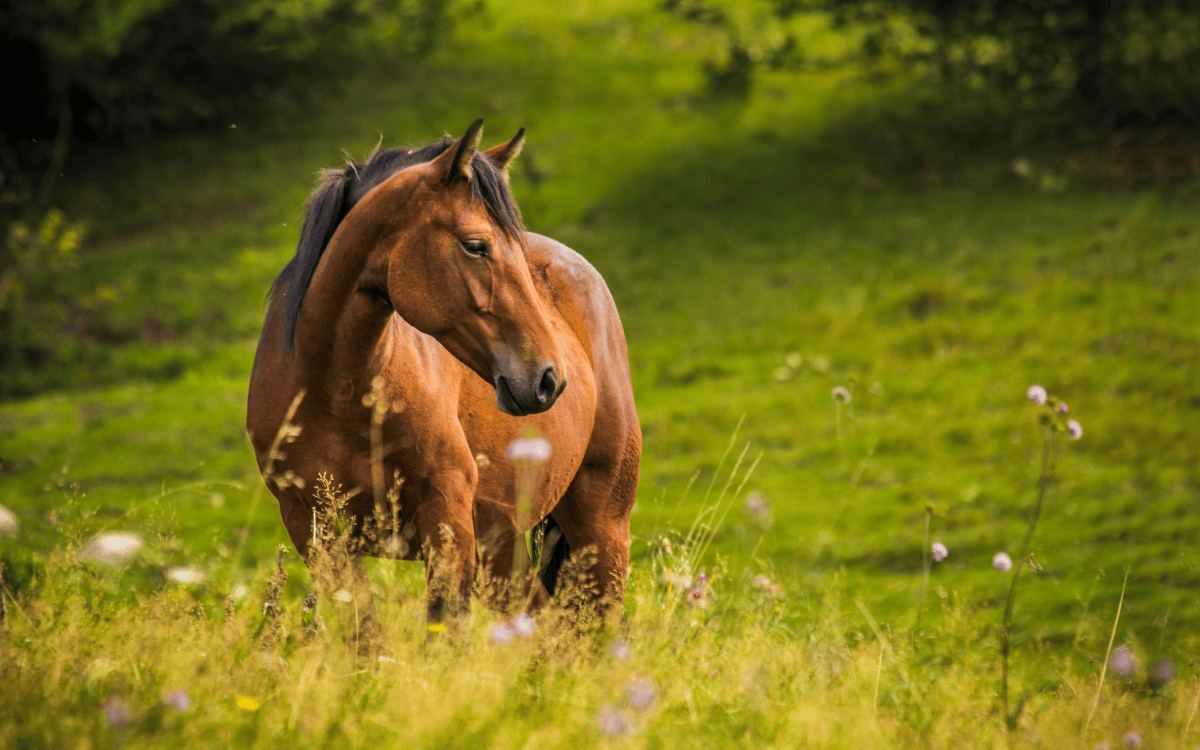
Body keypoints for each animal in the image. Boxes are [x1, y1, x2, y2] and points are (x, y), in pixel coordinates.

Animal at [246, 119, 640, 630]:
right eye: (475, 246)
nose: (548, 378)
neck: (336, 391)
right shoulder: (315, 532)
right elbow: (365, 636)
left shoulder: (447, 516)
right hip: (503, 544)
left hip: (601, 527)